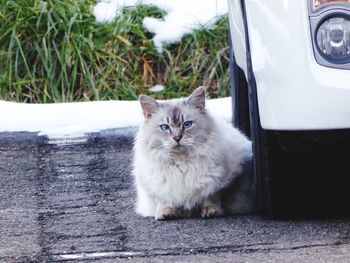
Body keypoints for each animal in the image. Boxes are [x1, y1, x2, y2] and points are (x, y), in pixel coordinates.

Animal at [133, 86, 253, 221]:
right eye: (165, 127)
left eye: (187, 124)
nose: (177, 138)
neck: (182, 163)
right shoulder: (155, 187)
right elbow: (164, 201)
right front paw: (166, 214)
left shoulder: (222, 183)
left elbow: (211, 198)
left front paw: (211, 212)